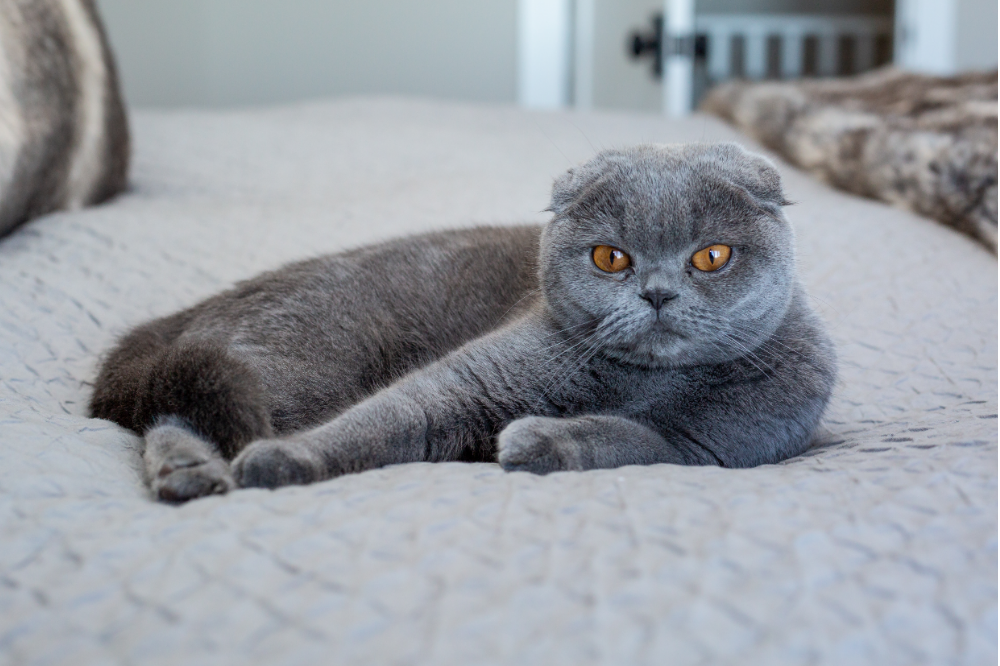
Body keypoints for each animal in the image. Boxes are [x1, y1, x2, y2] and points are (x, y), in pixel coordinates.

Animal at [90, 144, 836, 498]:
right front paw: (285, 461)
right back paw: (190, 471)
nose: (656, 294)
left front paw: (537, 440)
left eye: (711, 256)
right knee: (173, 409)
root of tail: (189, 312)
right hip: (299, 363)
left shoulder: (712, 450)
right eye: (610, 257)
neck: (640, 380)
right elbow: (382, 419)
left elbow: (630, 439)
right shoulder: (466, 381)